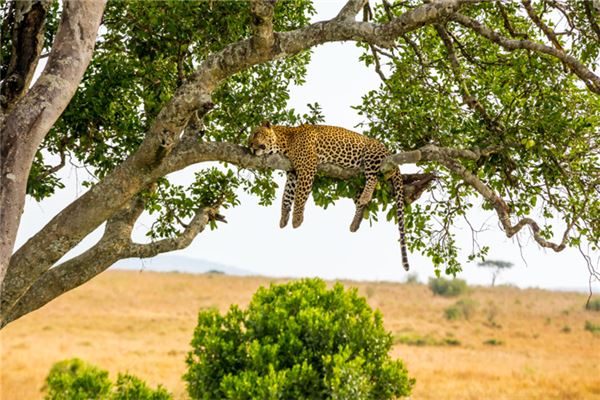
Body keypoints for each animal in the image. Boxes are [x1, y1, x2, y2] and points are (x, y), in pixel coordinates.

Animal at [246, 121, 410, 272]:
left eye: (256, 133)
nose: (249, 145)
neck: (284, 142)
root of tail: (388, 151)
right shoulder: (293, 173)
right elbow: (286, 196)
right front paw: (283, 218)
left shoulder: (307, 167)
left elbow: (299, 196)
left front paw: (297, 219)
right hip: (355, 181)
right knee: (361, 202)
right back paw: (355, 222)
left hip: (371, 154)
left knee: (374, 177)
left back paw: (366, 196)